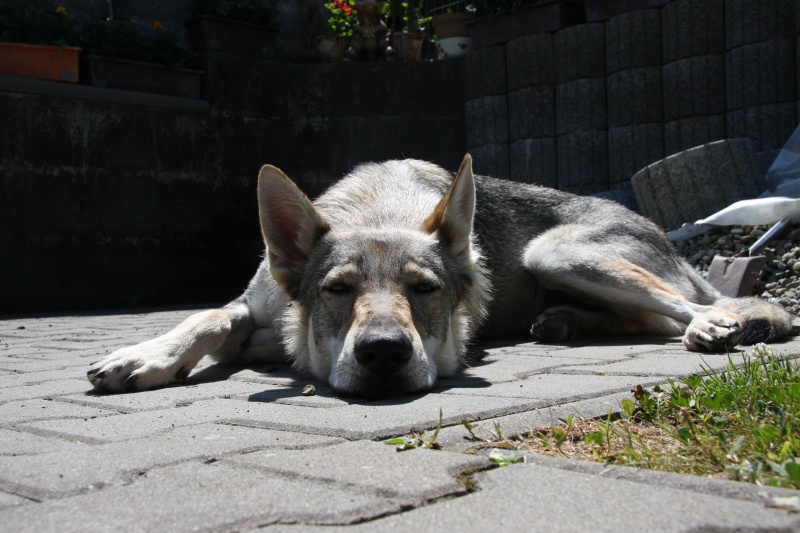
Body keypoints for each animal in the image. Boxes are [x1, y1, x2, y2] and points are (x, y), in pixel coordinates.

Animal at [87, 155, 792, 394]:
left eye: (425, 290)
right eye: (337, 290)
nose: (383, 355)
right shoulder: (251, 304)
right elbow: (206, 316)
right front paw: (144, 356)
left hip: (556, 254)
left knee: (684, 310)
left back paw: (711, 325)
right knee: (644, 318)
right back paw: (562, 322)